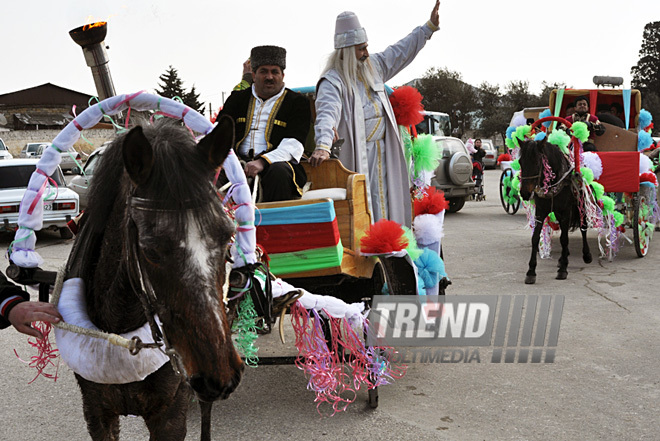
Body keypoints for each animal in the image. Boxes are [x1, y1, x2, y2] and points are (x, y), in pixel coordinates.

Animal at [520, 138, 596, 286]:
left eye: (537, 162)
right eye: (520, 162)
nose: (524, 193)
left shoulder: (565, 212)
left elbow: (564, 239)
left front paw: (563, 270)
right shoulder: (540, 212)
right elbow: (535, 238)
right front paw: (531, 271)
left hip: (581, 205)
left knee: (583, 227)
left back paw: (586, 254)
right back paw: (562, 258)